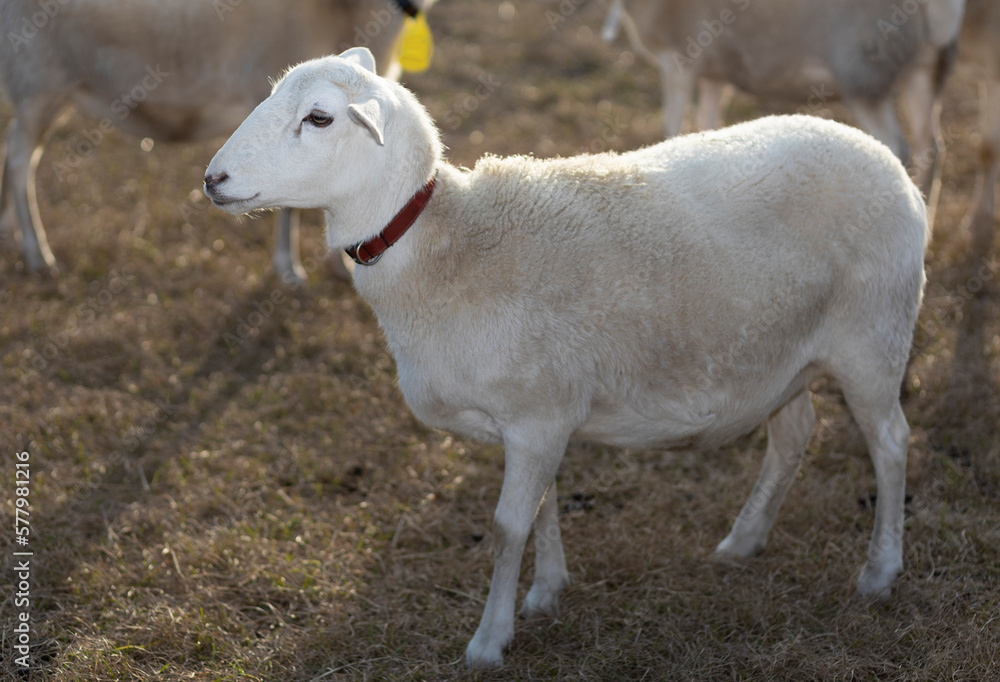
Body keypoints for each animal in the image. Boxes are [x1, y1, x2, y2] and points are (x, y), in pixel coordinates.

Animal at [203, 50, 928, 668]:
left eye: (319, 118)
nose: (212, 180)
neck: (447, 244)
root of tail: (891, 165)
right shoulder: (535, 418)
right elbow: (542, 509)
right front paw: (546, 590)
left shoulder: (536, 416)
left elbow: (505, 528)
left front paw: (489, 641)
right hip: (782, 355)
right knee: (794, 433)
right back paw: (742, 542)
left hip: (874, 334)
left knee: (891, 442)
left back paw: (879, 571)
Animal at [604, 0, 964, 218]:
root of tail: (939, 11)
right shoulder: (715, 74)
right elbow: (707, 122)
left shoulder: (680, 59)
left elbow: (672, 124)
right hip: (925, 70)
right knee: (930, 146)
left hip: (865, 73)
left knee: (896, 146)